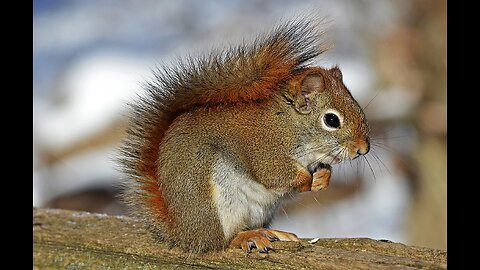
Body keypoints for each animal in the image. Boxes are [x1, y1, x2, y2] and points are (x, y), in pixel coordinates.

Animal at [118, 18, 370, 253]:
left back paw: (271, 233)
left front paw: (323, 178)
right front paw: (308, 180)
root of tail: (183, 234)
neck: (289, 124)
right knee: (223, 241)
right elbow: (275, 175)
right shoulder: (264, 147)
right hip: (217, 205)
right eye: (331, 120)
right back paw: (248, 237)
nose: (363, 149)